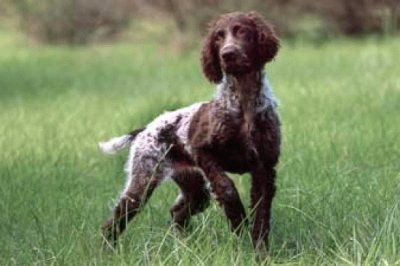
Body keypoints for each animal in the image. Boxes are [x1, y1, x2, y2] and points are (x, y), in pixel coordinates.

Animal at [100, 11, 282, 252]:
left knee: (177, 213)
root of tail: (146, 128)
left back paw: (182, 247)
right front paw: (237, 220)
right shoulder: (202, 151)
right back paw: (107, 251)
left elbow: (261, 216)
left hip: (194, 189)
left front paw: (260, 253)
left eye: (242, 31)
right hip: (143, 180)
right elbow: (227, 187)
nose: (227, 54)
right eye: (218, 37)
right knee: (114, 221)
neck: (244, 103)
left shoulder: (264, 167)